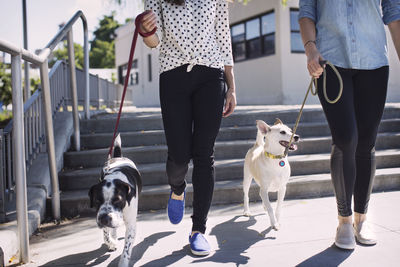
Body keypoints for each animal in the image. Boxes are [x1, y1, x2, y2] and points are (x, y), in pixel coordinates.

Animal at [89, 135, 142, 266]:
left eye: (118, 200)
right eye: (97, 200)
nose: (104, 219)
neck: (114, 177)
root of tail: (118, 157)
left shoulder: (131, 223)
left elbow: (127, 247)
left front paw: (123, 262)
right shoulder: (101, 215)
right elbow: (105, 235)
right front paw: (111, 243)